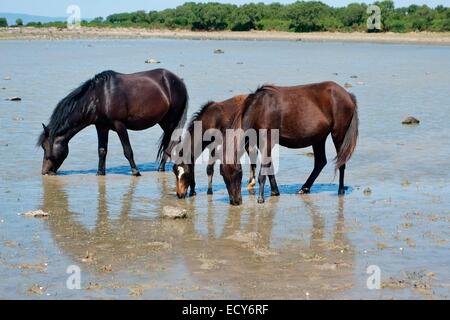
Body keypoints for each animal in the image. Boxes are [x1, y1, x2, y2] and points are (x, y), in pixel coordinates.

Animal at [36, 68, 188, 176]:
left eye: (45, 147)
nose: (45, 171)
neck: (100, 97)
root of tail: (178, 81)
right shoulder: (101, 127)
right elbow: (102, 151)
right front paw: (100, 172)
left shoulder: (119, 125)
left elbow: (127, 150)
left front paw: (136, 172)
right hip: (164, 121)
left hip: (171, 120)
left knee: (172, 141)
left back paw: (163, 167)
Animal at [221, 80, 358, 205]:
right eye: (222, 175)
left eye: (238, 173)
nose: (235, 201)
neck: (260, 109)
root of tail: (348, 95)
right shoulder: (262, 143)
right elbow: (269, 166)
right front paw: (275, 191)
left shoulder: (267, 141)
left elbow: (263, 171)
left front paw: (260, 198)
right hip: (319, 138)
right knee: (320, 162)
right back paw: (304, 189)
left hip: (338, 134)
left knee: (341, 162)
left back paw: (340, 190)